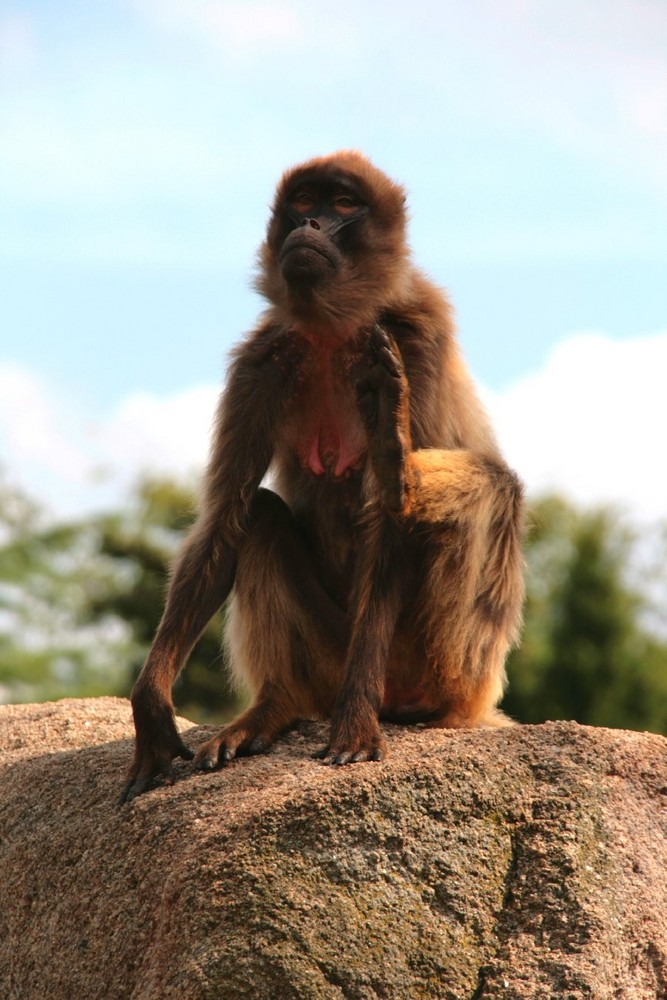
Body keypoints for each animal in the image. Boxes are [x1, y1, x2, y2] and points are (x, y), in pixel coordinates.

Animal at [121, 150, 528, 804]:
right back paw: (277, 704)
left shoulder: (417, 341)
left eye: (342, 206)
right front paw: (151, 700)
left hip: (446, 669)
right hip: (331, 657)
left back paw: (399, 471)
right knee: (259, 515)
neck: (336, 332)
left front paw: (355, 722)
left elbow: (391, 523)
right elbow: (224, 517)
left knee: (493, 487)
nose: (309, 226)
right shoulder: (261, 361)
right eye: (305, 203)